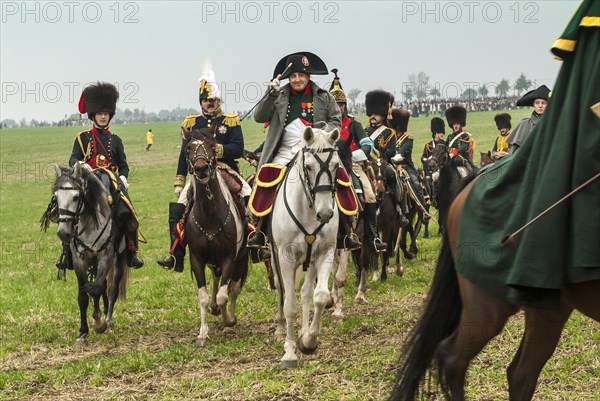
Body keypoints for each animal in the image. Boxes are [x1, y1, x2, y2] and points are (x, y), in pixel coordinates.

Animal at [184, 129, 247, 346]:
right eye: (188, 147)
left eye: (212, 145)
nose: (201, 169)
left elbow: (224, 295)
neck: (209, 217)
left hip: (240, 261)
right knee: (216, 280)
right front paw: (203, 333)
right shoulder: (196, 259)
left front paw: (228, 319)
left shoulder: (229, 258)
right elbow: (203, 296)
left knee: (233, 289)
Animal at [272, 126, 342, 368]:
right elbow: (290, 306)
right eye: (309, 166)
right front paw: (289, 352)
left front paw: (309, 340)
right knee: (283, 291)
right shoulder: (285, 258)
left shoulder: (325, 253)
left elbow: (319, 297)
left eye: (336, 165)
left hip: (310, 260)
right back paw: (282, 329)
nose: (326, 214)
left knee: (305, 294)